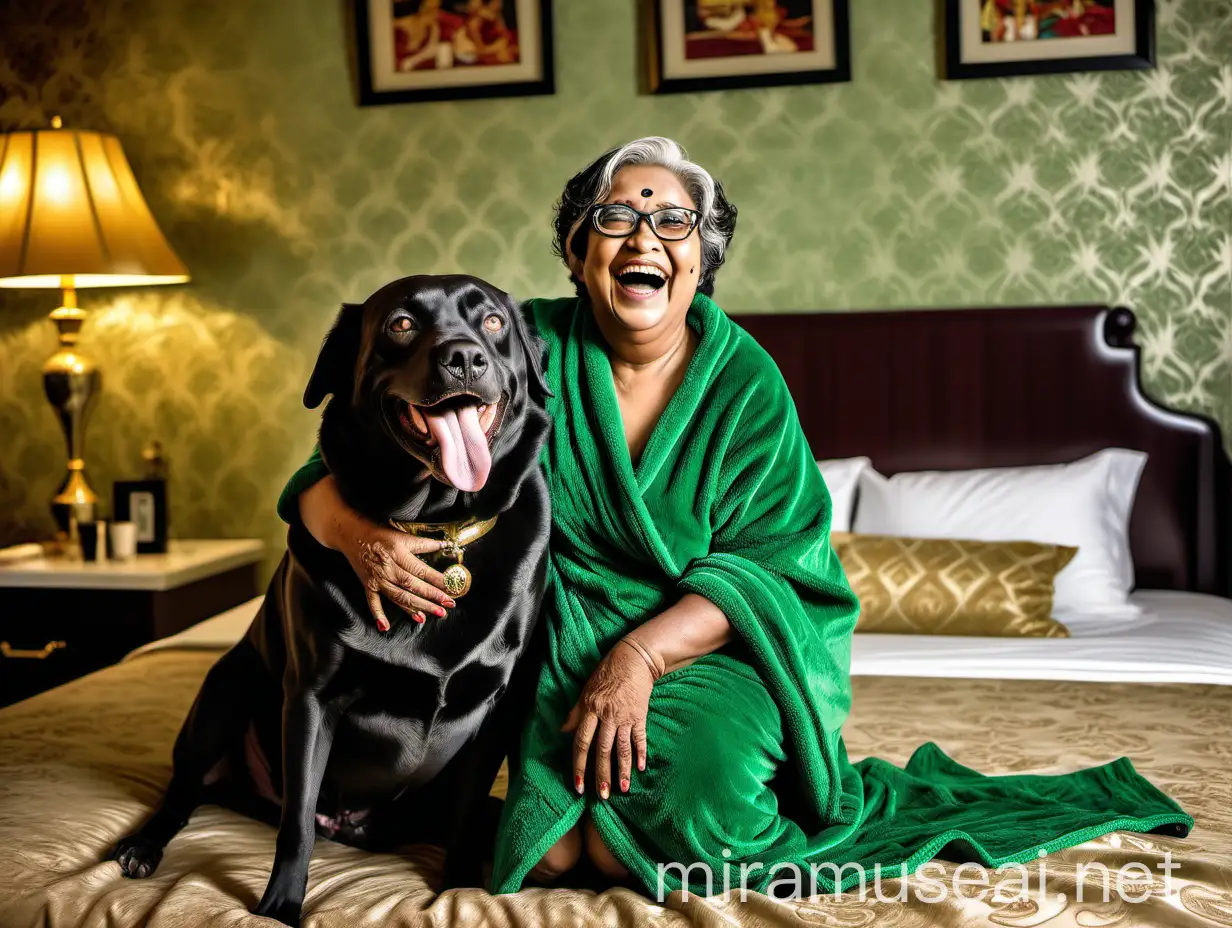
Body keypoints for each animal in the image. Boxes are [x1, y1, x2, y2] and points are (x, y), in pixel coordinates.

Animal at [108, 271, 551, 921]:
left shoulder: (496, 705)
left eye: (492, 321)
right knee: (186, 791)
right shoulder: (313, 698)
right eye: (401, 325)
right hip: (226, 687)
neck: (435, 527)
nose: (465, 357)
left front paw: (458, 892)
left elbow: (471, 817)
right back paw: (143, 845)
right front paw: (279, 907)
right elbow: (295, 824)